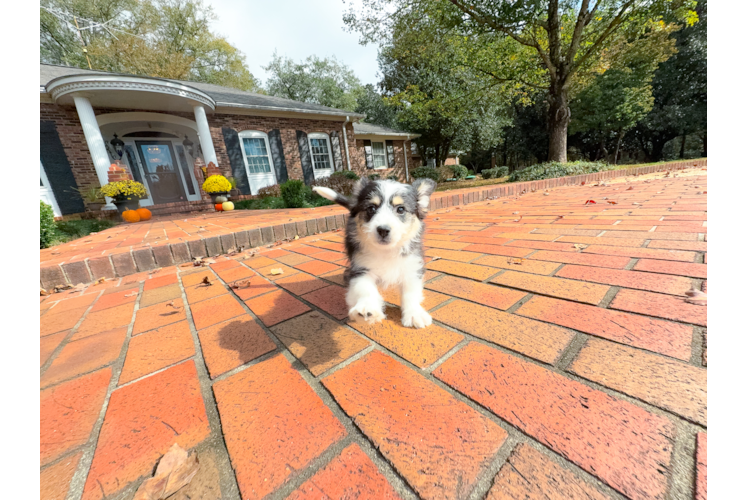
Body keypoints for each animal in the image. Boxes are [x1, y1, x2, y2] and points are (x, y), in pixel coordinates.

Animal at [312, 179, 438, 328]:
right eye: (371, 208)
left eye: (400, 209)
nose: (383, 230)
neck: (386, 252)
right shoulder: (360, 268)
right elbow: (365, 288)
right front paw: (367, 308)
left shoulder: (412, 265)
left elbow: (411, 291)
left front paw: (414, 314)